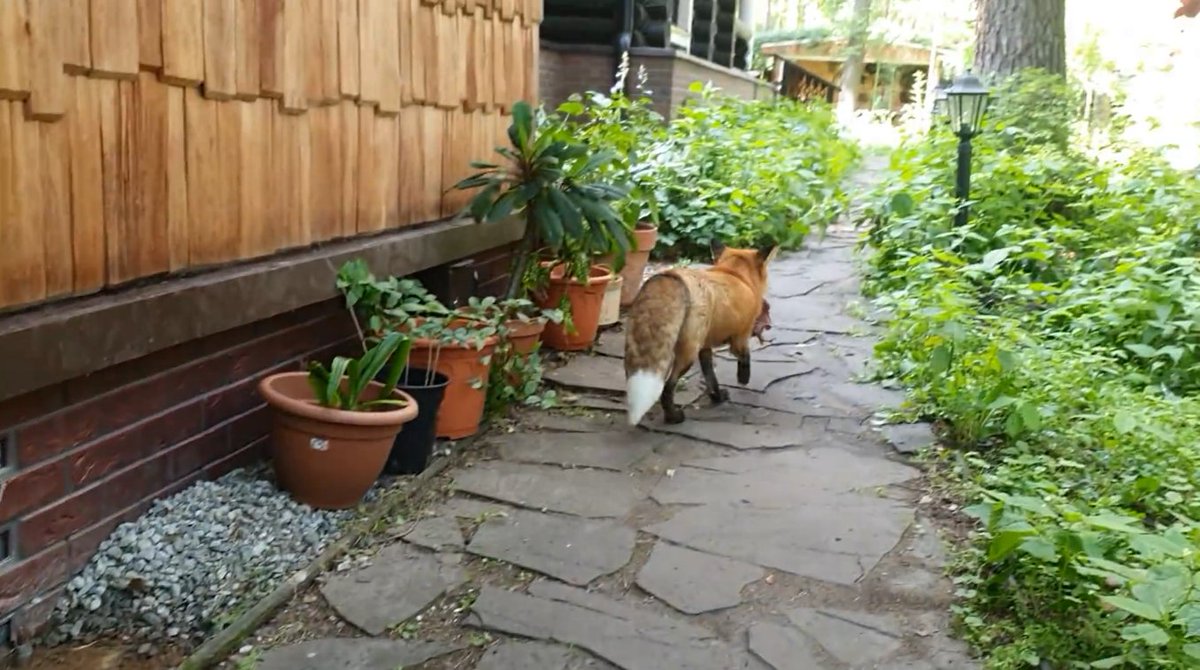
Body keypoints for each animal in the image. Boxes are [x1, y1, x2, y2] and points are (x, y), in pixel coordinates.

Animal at [624, 241, 778, 426]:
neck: (735, 275)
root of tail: (670, 275)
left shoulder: (705, 347)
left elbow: (711, 378)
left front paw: (717, 398)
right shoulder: (741, 336)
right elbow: (745, 357)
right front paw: (743, 378)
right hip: (687, 355)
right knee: (667, 387)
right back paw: (673, 417)